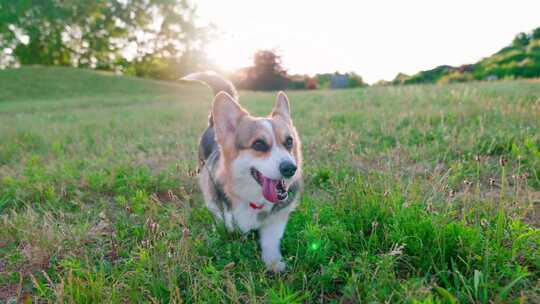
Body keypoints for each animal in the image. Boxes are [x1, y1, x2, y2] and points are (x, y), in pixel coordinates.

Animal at [182, 72, 304, 274]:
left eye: (289, 141)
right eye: (259, 144)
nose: (290, 169)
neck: (254, 199)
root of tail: (213, 123)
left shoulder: (276, 219)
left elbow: (271, 241)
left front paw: (273, 263)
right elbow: (229, 227)